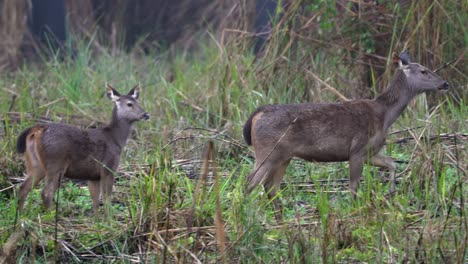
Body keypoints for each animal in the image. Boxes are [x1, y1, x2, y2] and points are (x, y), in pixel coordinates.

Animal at [16, 83, 149, 216]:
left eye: (138, 102)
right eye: (129, 104)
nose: (146, 115)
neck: (116, 139)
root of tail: (38, 129)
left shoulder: (93, 175)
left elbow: (95, 201)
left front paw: (97, 220)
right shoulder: (108, 167)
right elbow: (107, 199)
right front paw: (109, 219)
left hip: (35, 164)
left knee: (23, 188)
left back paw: (20, 216)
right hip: (55, 163)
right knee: (46, 193)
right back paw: (50, 216)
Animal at [243, 51, 448, 219]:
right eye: (423, 71)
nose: (445, 83)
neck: (384, 116)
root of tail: (257, 115)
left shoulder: (370, 152)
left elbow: (391, 163)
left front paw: (390, 191)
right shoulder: (357, 149)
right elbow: (353, 187)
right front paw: (355, 211)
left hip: (283, 156)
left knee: (270, 187)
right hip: (268, 151)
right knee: (250, 182)